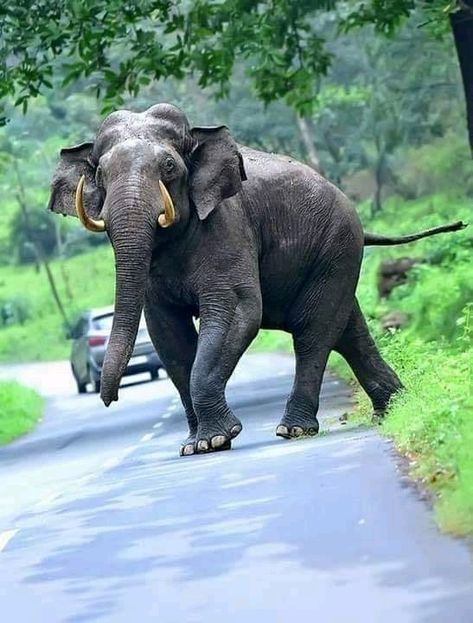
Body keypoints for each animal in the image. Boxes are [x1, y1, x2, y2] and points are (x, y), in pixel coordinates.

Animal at [48, 103, 464, 458]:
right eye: (100, 175)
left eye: (168, 166)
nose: (109, 399)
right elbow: (169, 334)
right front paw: (195, 446)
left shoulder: (228, 226)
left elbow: (236, 310)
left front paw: (214, 440)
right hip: (334, 257)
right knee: (347, 328)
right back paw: (392, 409)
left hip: (336, 244)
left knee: (313, 331)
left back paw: (294, 430)